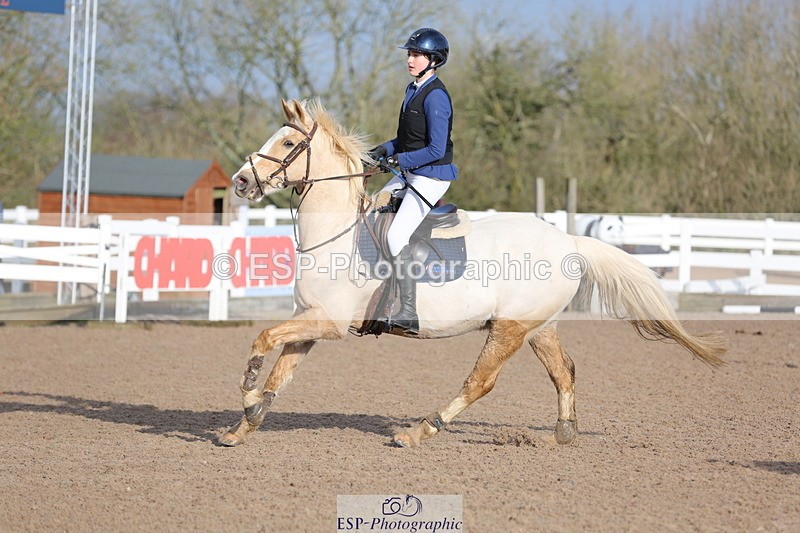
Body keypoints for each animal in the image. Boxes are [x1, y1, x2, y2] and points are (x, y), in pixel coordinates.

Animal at [220, 98, 727, 448]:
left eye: (288, 143)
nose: (240, 182)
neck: (337, 233)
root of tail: (569, 242)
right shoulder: (309, 322)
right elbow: (280, 374)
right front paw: (243, 426)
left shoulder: (329, 324)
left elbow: (262, 340)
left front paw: (245, 394)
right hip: (538, 326)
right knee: (564, 371)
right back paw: (563, 432)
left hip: (508, 329)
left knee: (481, 382)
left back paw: (418, 432)